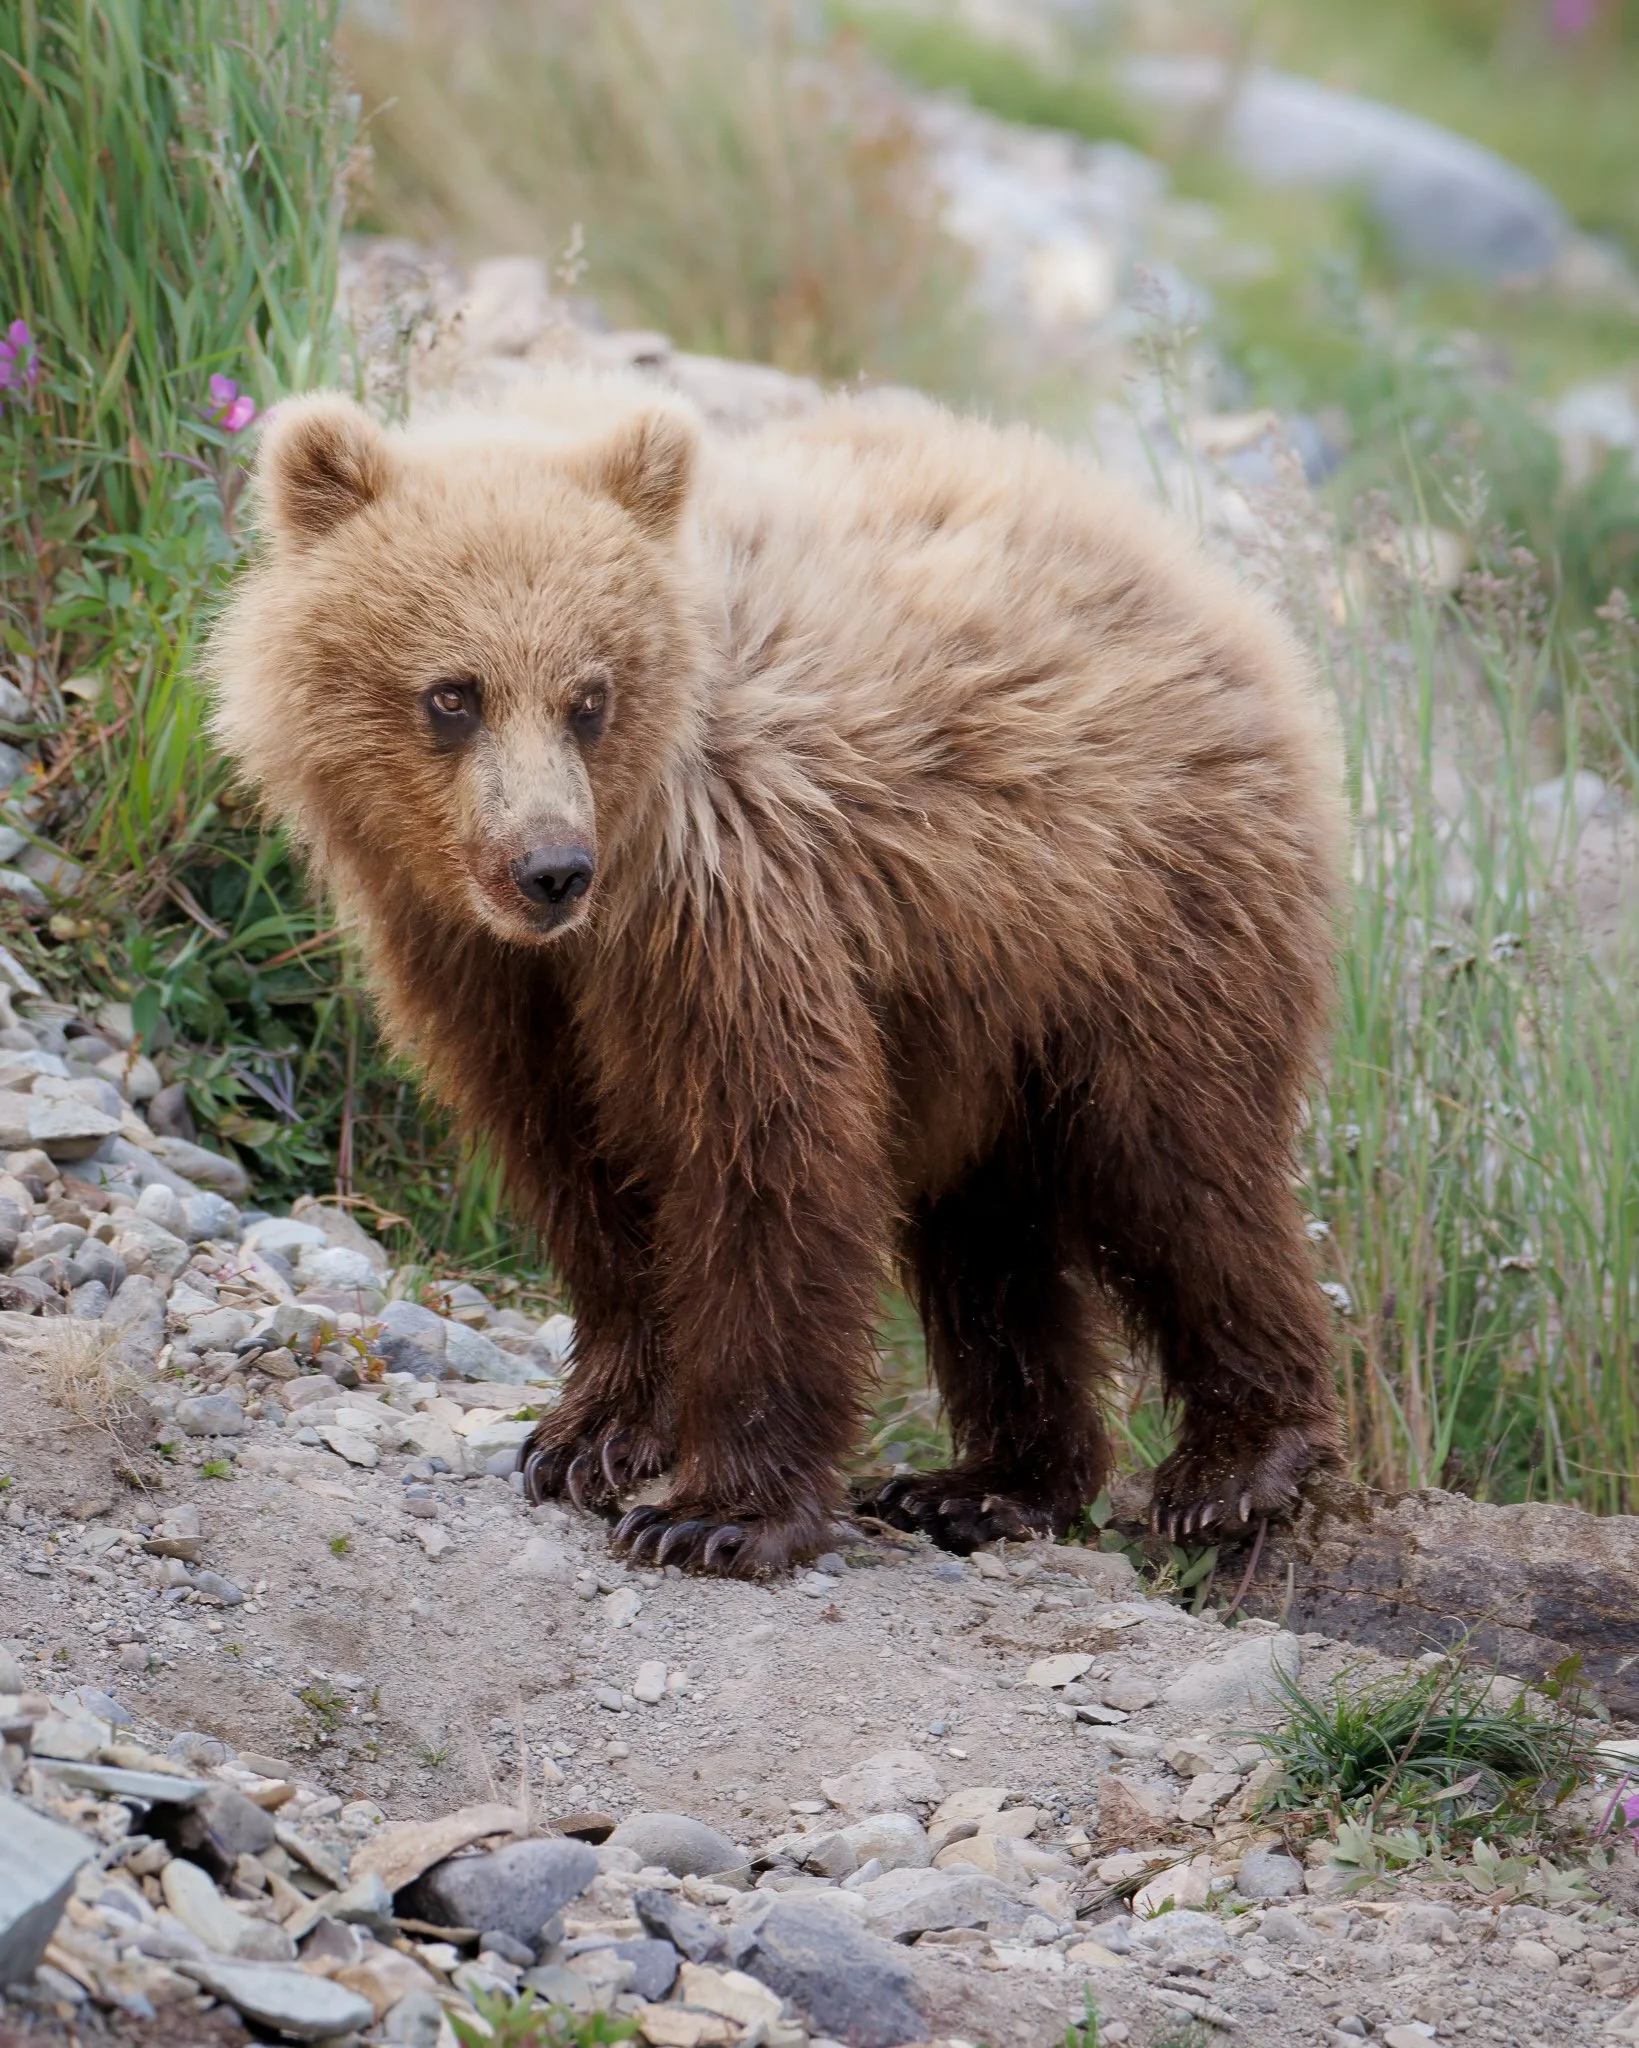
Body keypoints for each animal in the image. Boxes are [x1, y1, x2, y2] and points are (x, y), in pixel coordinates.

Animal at [208, 372, 1347, 1577]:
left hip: (1137, 917)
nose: (551, 868)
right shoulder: (484, 971)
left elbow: (763, 1152)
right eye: (452, 694)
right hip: (979, 999)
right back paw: (988, 1482)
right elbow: (576, 1163)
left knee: (1174, 1170)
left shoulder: (736, 903)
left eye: (588, 696)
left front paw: (715, 1509)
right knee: (988, 1227)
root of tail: (1215, 593)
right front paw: (591, 1433)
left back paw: (1238, 1466)